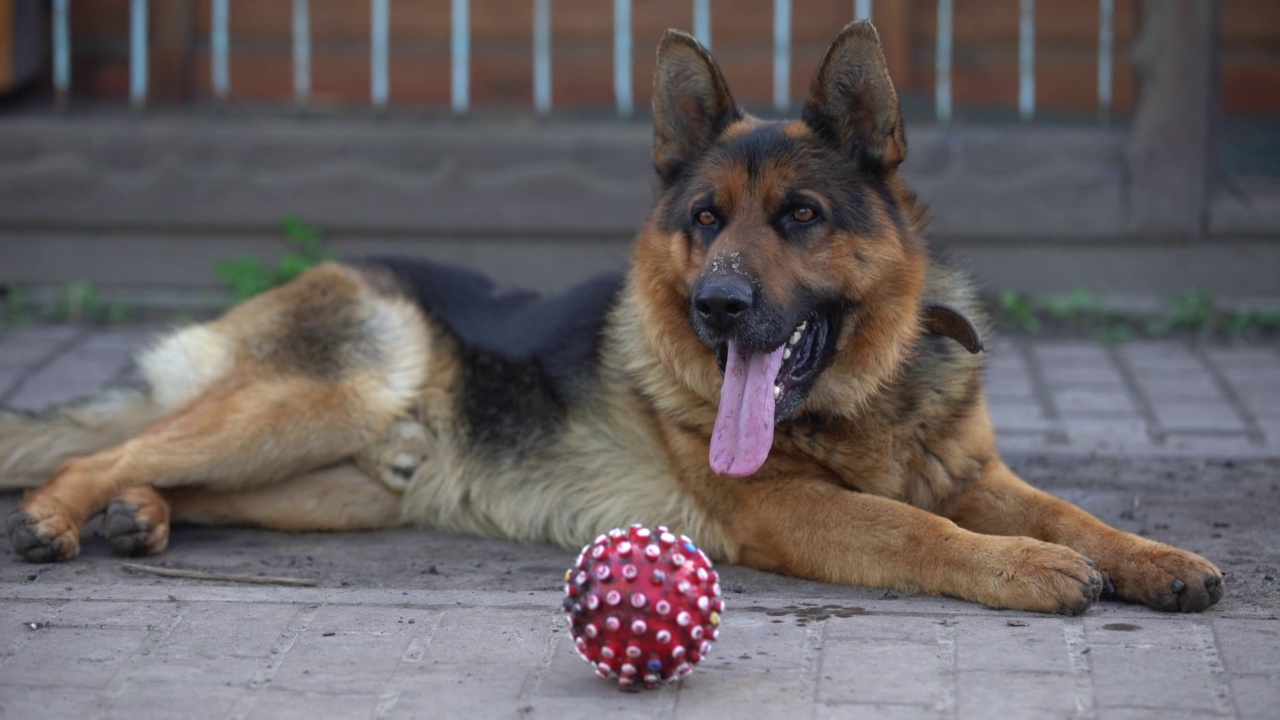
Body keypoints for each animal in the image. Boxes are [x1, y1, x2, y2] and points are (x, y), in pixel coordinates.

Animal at [0, 25, 1218, 614]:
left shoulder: (975, 474)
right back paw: (61, 518)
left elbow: (1074, 511)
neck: (864, 401)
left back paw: (140, 518)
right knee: (99, 450)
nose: (718, 305)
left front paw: (1154, 558)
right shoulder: (791, 512)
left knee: (172, 474)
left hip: (333, 487)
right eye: (705, 219)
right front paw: (1027, 569)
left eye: (802, 216)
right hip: (317, 403)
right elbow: (919, 531)